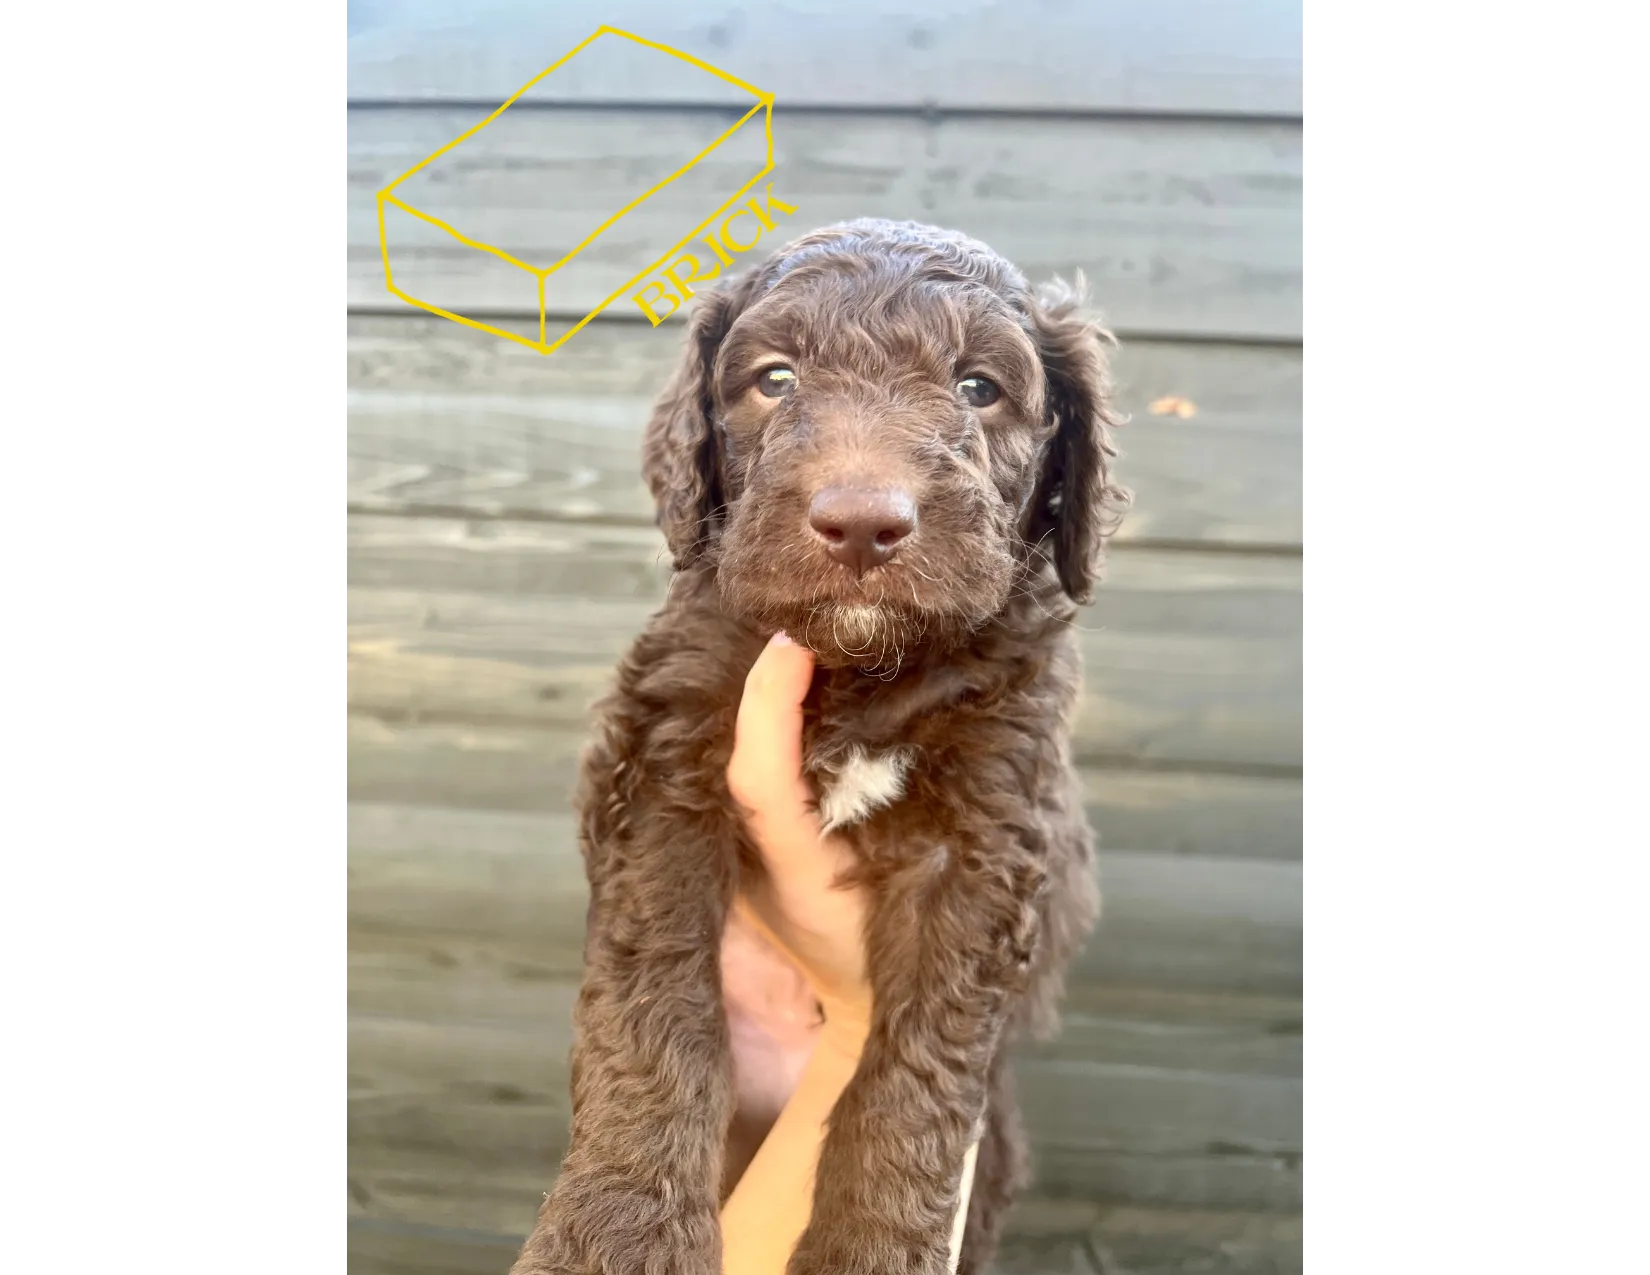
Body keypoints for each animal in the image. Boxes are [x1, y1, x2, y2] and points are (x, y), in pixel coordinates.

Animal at [511, 219, 1135, 1273]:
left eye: (979, 387)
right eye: (775, 378)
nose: (862, 523)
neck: (861, 671)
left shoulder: (987, 829)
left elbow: (914, 1074)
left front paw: (869, 1248)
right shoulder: (664, 761)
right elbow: (653, 1003)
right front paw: (621, 1230)